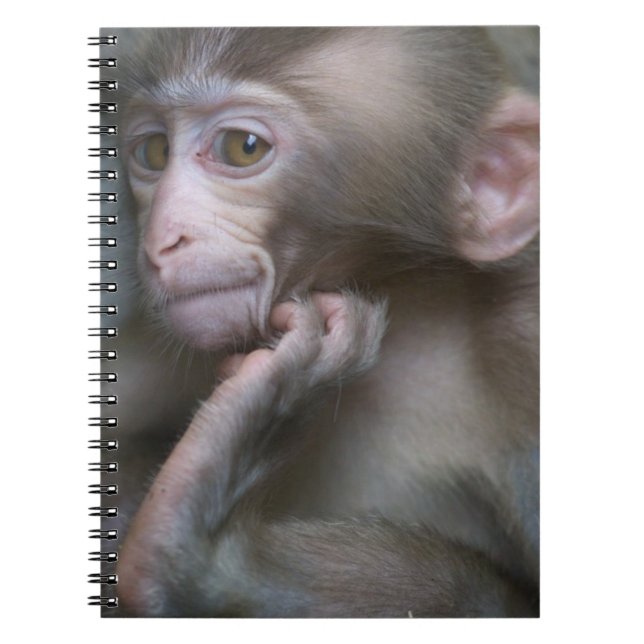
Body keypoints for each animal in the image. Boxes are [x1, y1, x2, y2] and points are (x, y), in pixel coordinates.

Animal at [102, 27, 539, 617]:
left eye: (243, 147)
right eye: (154, 151)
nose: (162, 241)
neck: (411, 307)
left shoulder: (527, 344)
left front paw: (198, 555)